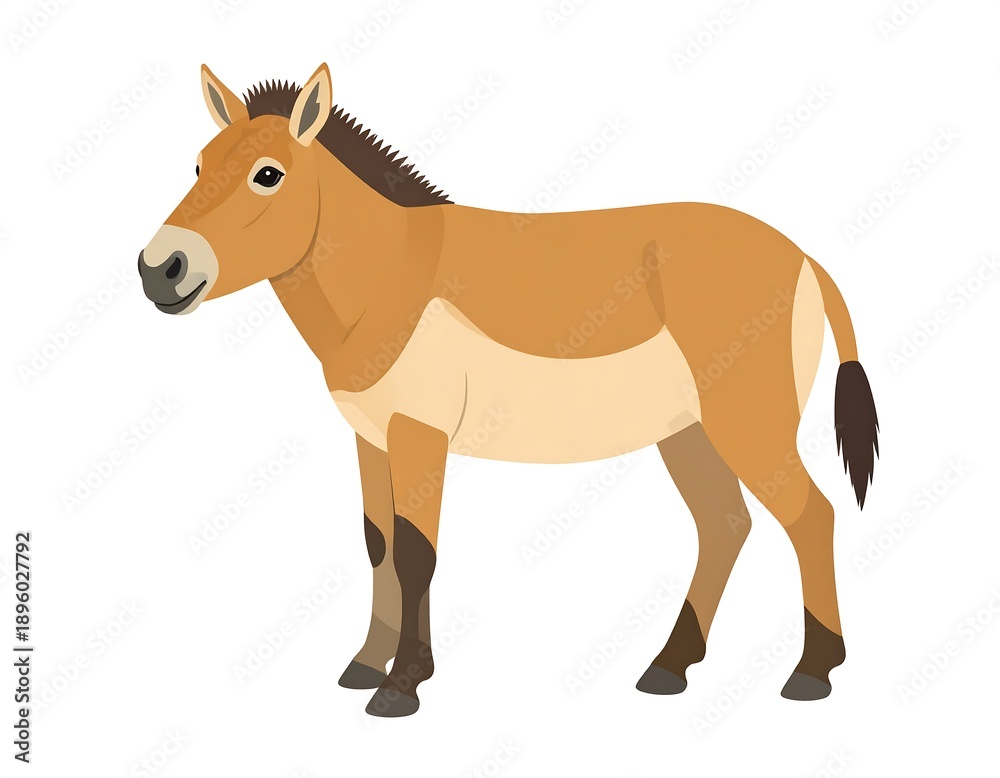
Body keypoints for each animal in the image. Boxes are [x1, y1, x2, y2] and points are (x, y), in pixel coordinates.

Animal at [139, 63, 879, 717]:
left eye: (268, 175)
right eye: (198, 166)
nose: (159, 270)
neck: (388, 273)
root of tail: (805, 258)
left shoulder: (419, 434)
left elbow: (416, 552)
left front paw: (402, 686)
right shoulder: (370, 436)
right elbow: (378, 546)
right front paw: (365, 665)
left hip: (747, 423)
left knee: (809, 516)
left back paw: (812, 674)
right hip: (686, 430)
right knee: (725, 525)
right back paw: (670, 670)